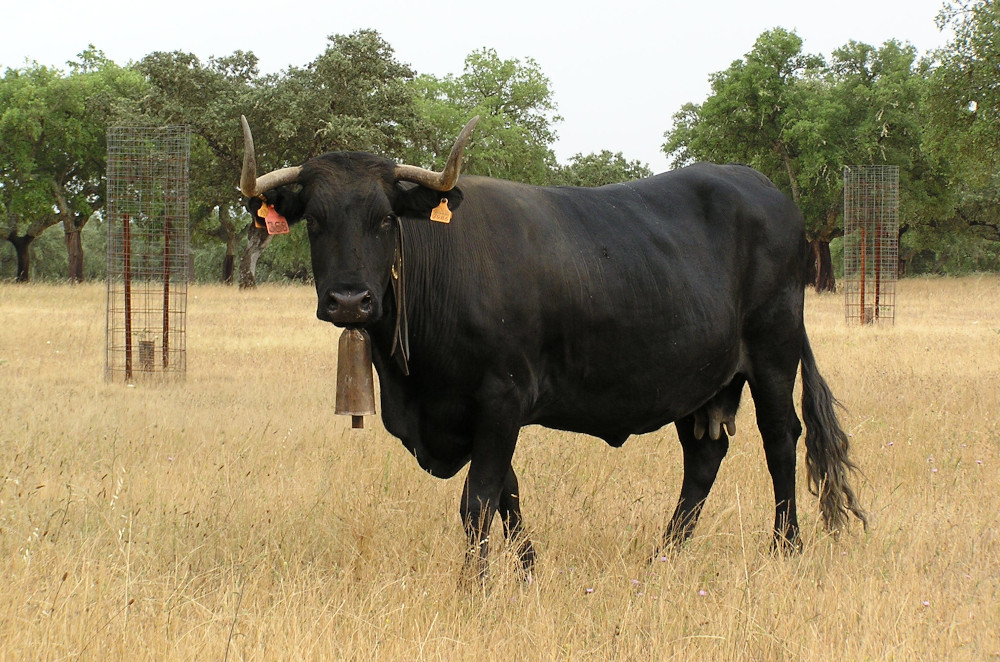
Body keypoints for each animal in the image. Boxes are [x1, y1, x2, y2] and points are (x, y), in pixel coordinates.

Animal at [238, 116, 864, 580]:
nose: (349, 300)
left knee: (781, 442)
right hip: (700, 380)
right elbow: (508, 496)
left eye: (385, 219)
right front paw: (527, 571)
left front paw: (475, 586)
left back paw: (785, 549)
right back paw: (663, 556)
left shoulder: (502, 396)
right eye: (314, 220)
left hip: (773, 353)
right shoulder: (481, 412)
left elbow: (478, 501)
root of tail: (763, 188)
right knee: (704, 457)